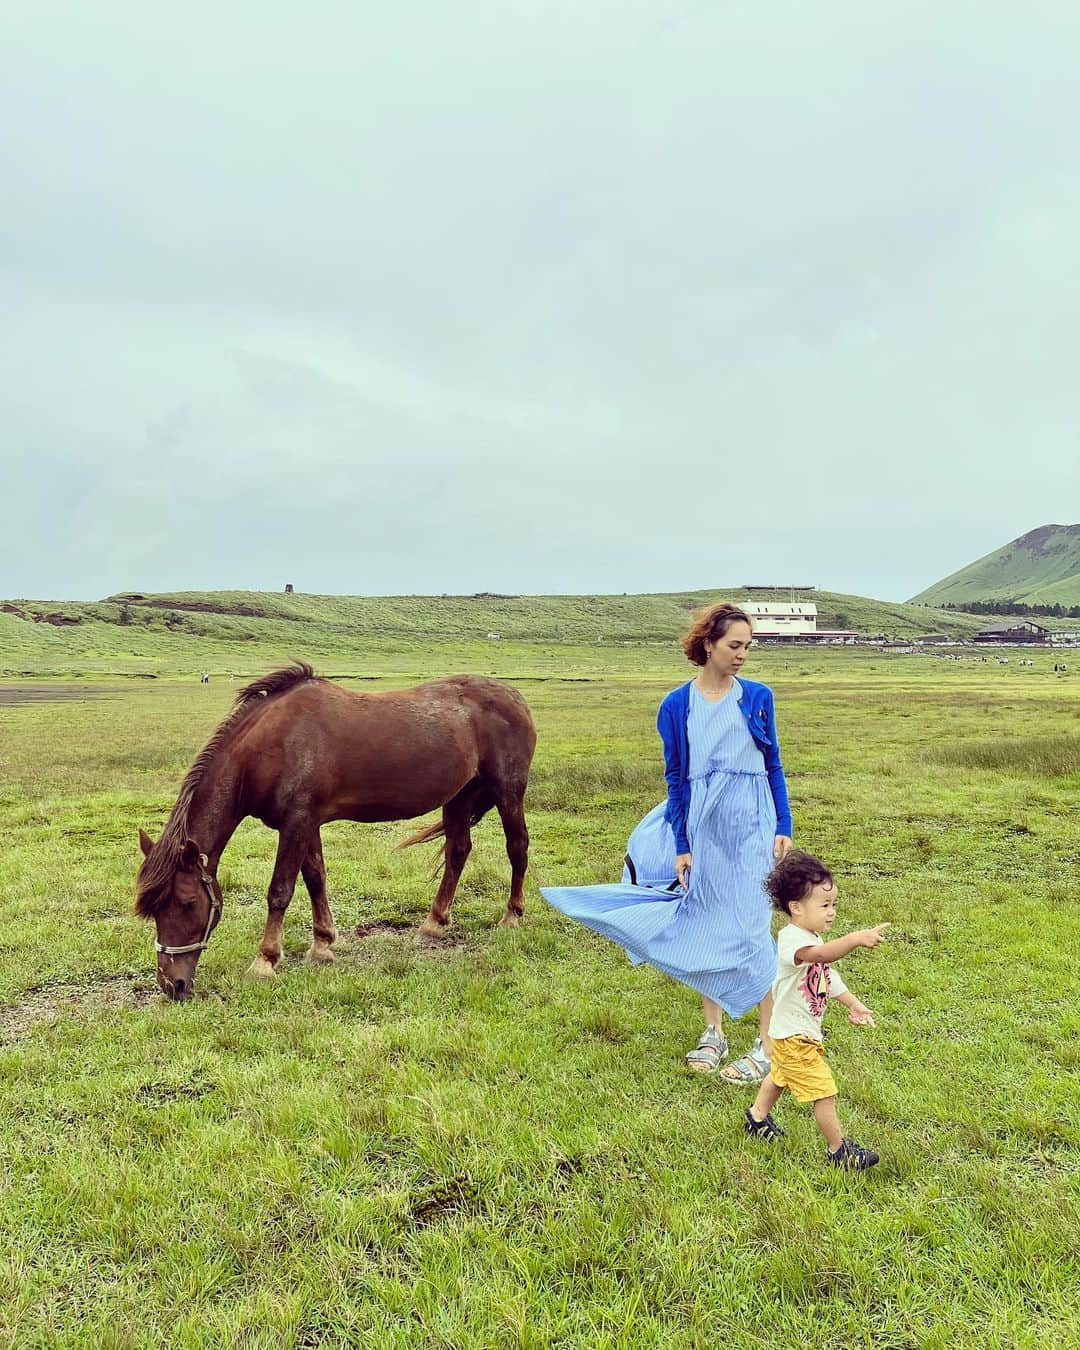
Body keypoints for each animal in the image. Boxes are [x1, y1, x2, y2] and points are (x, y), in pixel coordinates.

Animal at [136, 666, 534, 1004]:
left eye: (188, 903)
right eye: (155, 910)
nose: (172, 984)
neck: (270, 747)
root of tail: (515, 697)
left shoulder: (296, 823)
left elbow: (280, 891)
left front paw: (265, 961)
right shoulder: (307, 823)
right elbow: (315, 878)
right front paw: (323, 945)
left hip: (507, 791)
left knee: (517, 848)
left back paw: (512, 916)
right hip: (460, 796)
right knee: (458, 852)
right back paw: (433, 924)